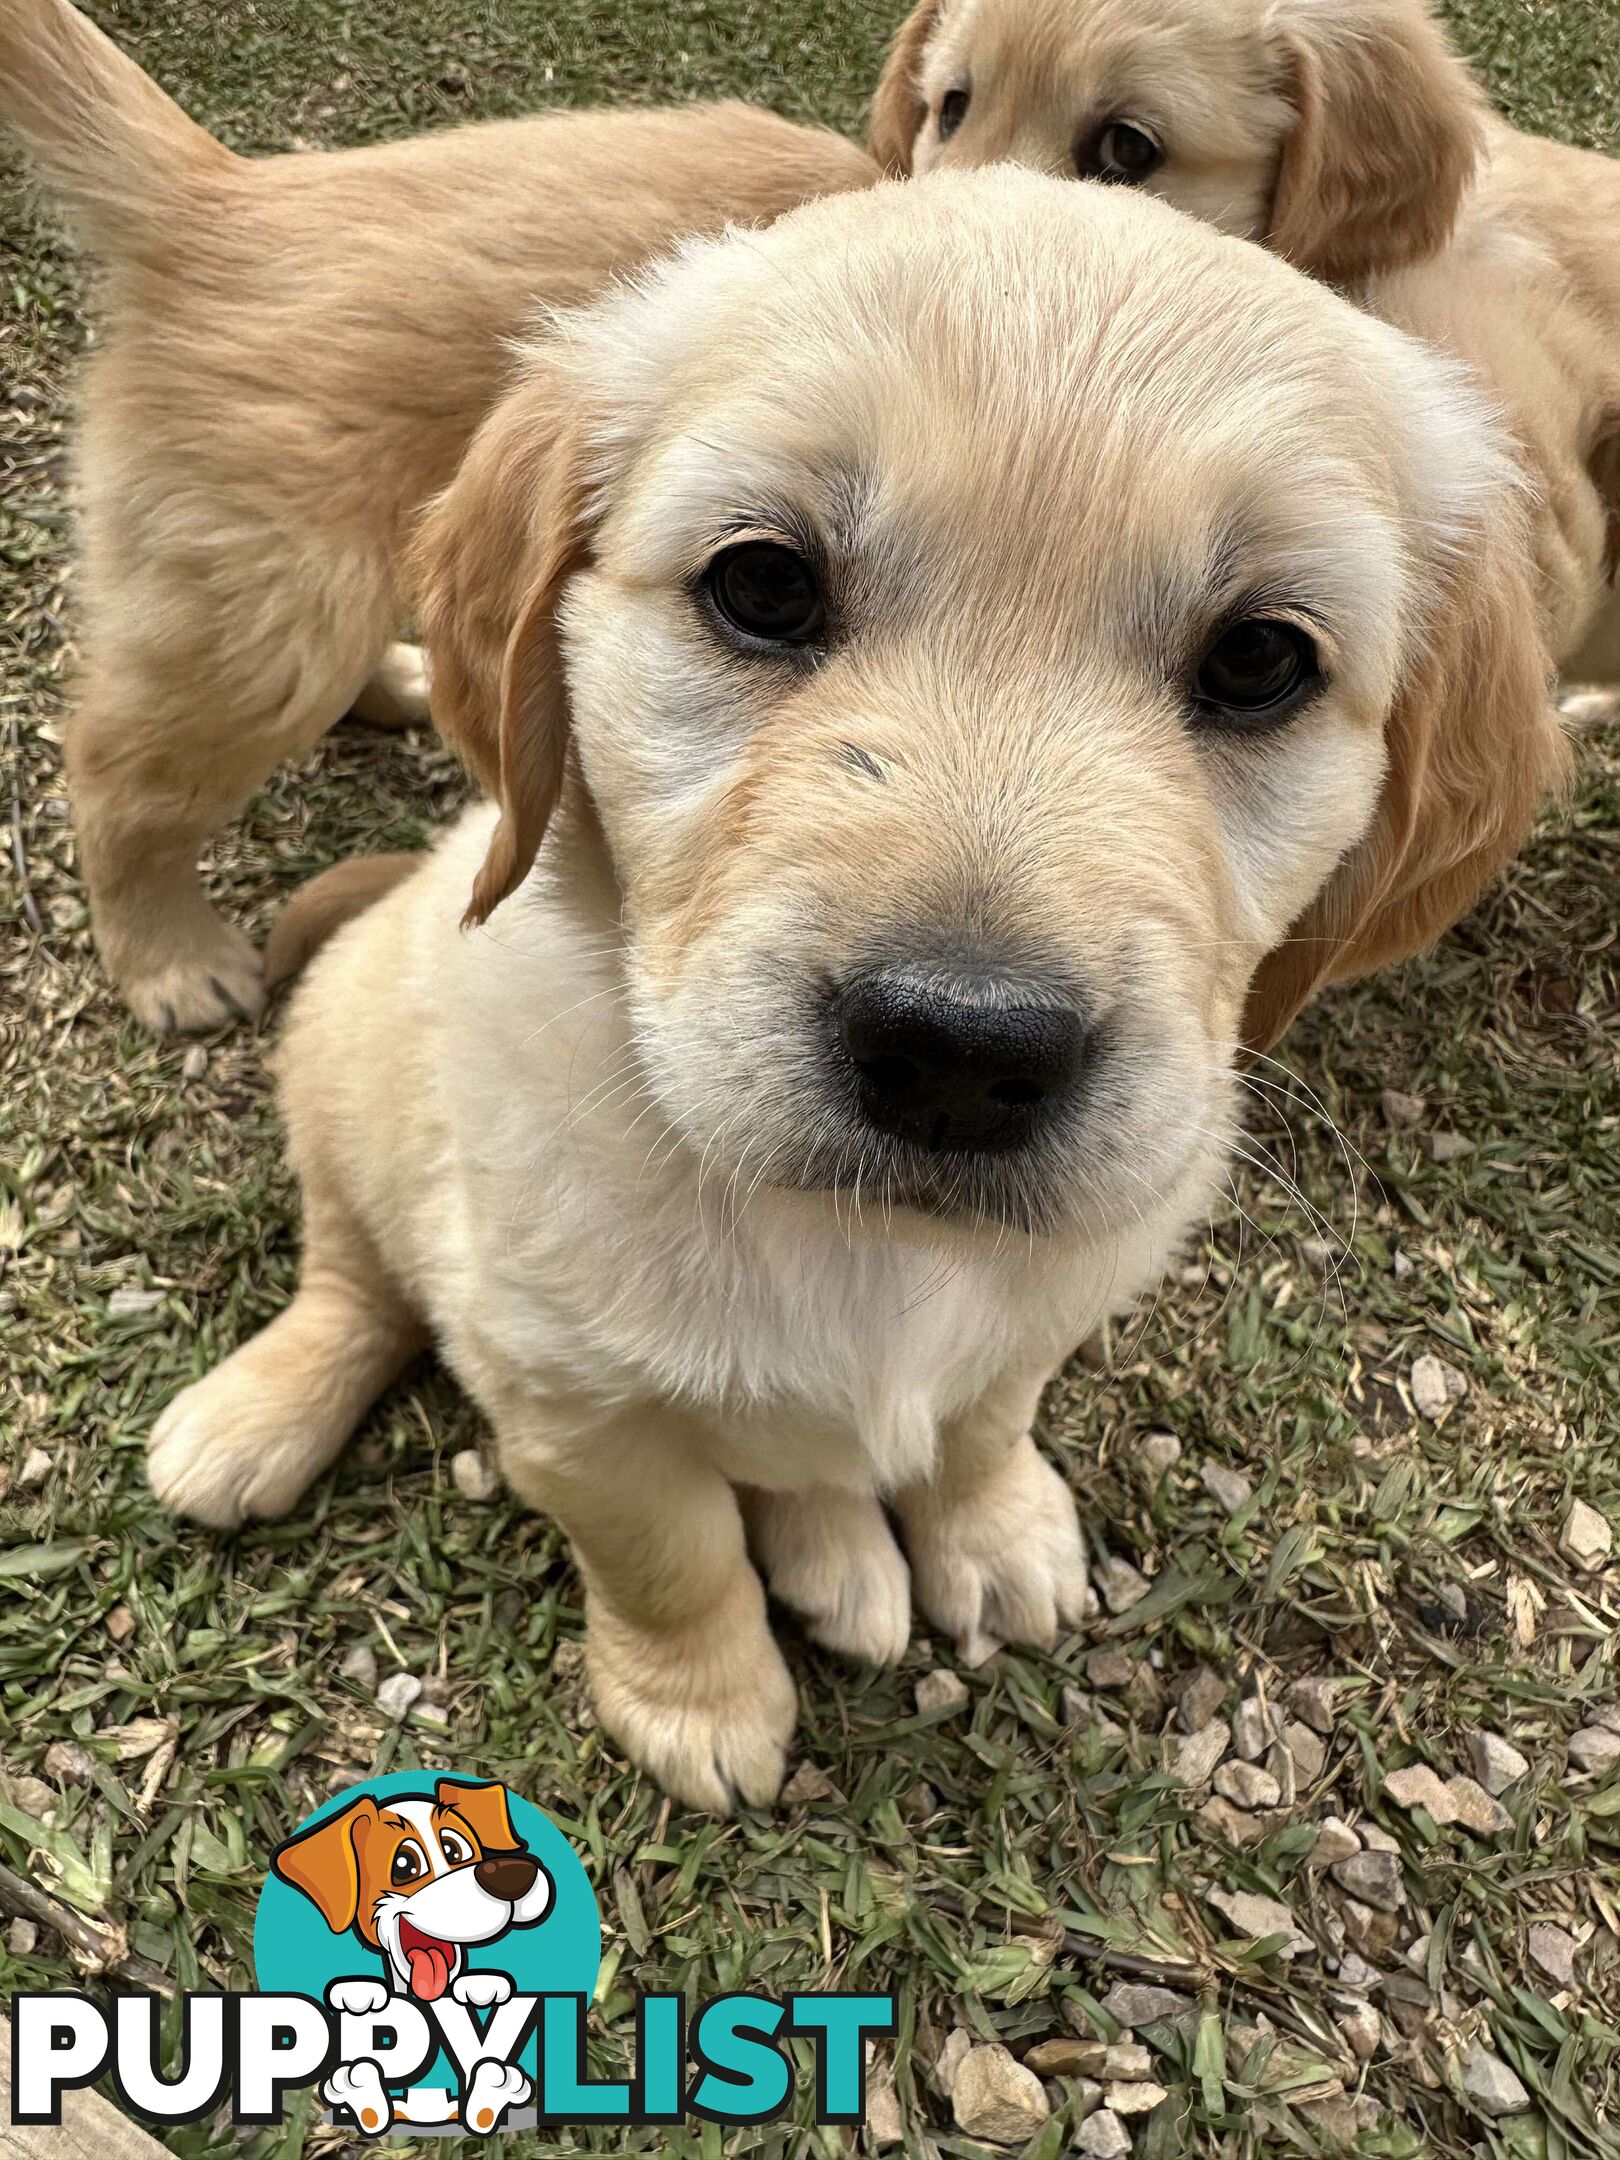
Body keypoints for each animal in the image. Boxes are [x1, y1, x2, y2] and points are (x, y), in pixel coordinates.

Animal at [145, 168, 1563, 1805]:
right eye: (761, 583)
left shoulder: (1043, 1308)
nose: (960, 1051)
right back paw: (252, 1419)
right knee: (352, 1281)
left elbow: (981, 1424)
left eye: (1261, 659)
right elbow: (671, 1554)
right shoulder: (568, 1402)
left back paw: (837, 1558)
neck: (866, 1249)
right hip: (342, 1079)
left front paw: (994, 1533)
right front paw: (699, 1703)